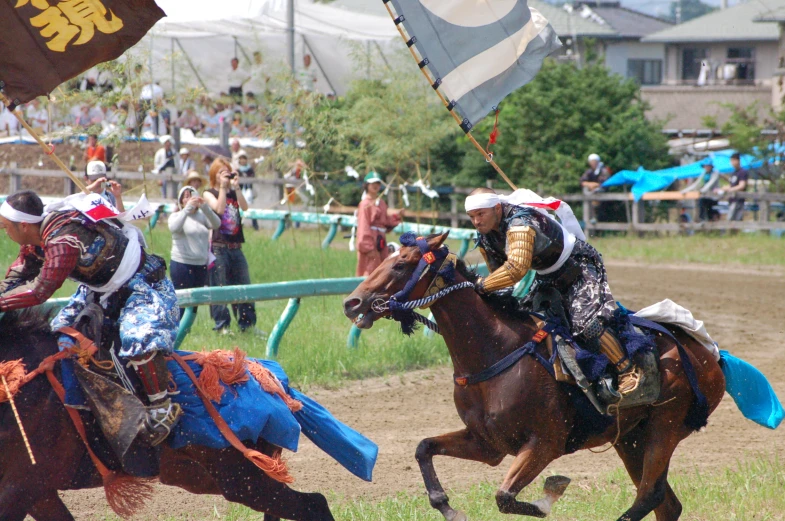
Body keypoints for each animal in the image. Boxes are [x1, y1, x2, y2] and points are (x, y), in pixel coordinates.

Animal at [0, 308, 334, 520]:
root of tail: (273, 382)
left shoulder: (22, 486)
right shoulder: (39, 493)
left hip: (241, 478)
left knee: (313, 505)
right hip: (202, 476)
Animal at [344, 234, 724, 520]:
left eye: (401, 264)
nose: (352, 302)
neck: (497, 351)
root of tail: (706, 351)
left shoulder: (544, 444)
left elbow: (505, 496)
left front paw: (548, 495)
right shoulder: (487, 443)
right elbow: (424, 448)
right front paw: (448, 507)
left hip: (665, 425)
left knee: (649, 495)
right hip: (629, 437)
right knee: (665, 503)